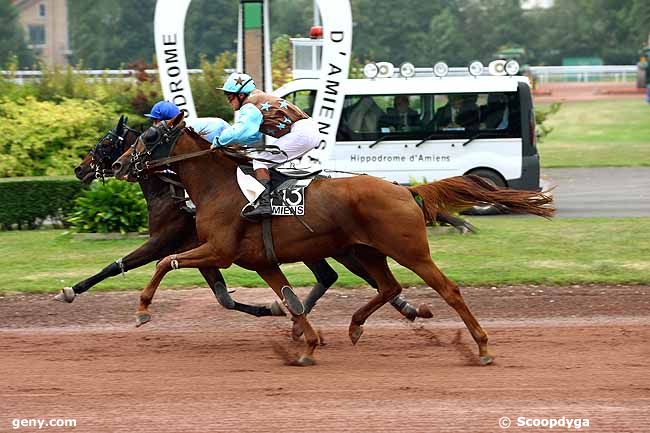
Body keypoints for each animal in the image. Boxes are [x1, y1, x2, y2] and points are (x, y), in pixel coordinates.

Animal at [111, 112, 552, 364]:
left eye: (149, 138)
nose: (117, 165)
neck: (218, 188)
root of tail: (406, 189)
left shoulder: (218, 251)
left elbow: (164, 262)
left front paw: (143, 309)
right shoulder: (262, 261)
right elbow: (290, 300)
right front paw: (306, 344)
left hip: (409, 250)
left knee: (448, 289)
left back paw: (482, 346)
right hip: (367, 250)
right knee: (389, 286)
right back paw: (355, 326)